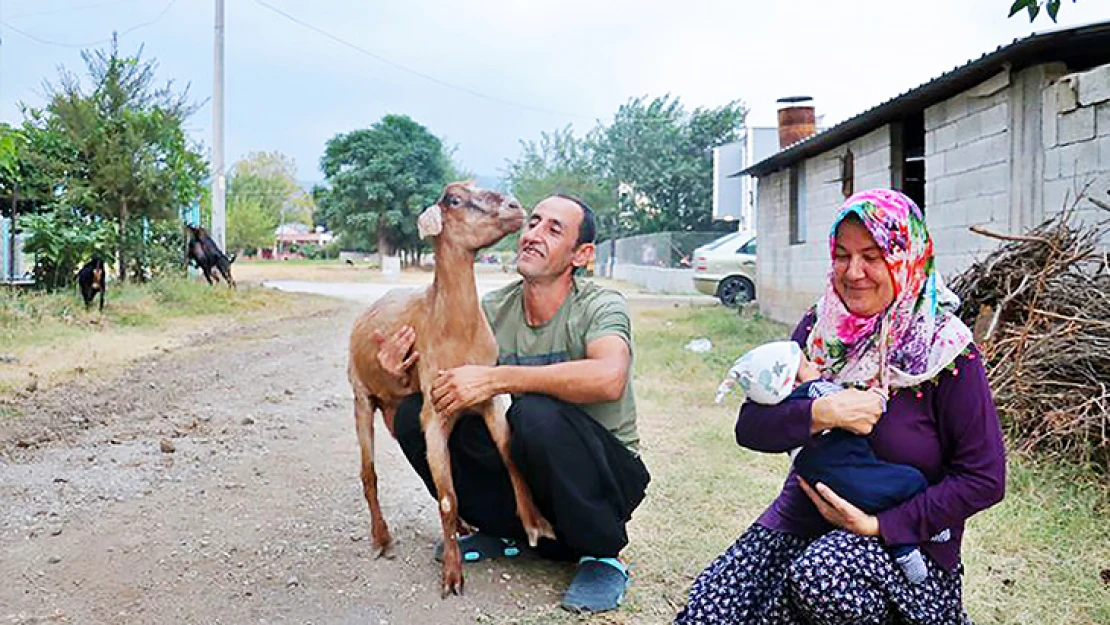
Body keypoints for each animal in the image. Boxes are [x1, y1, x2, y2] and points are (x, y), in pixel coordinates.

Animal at [348, 179, 552, 595]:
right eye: (455, 199)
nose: (514, 206)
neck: (452, 329)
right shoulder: (433, 413)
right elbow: (447, 497)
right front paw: (452, 576)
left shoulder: (488, 398)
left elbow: (508, 456)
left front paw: (534, 522)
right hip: (361, 395)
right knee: (368, 474)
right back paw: (381, 538)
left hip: (398, 406)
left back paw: (461, 527)